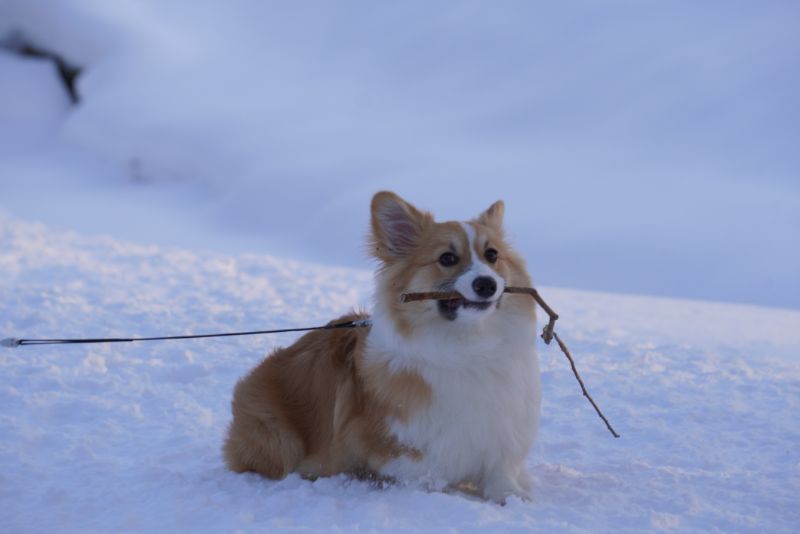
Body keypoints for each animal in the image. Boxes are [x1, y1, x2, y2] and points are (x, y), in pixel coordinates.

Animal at [222, 194, 540, 506]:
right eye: (447, 258)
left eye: (492, 255)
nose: (487, 284)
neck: (468, 344)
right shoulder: (387, 444)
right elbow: (425, 471)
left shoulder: (501, 425)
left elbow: (500, 468)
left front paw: (511, 494)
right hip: (277, 439)